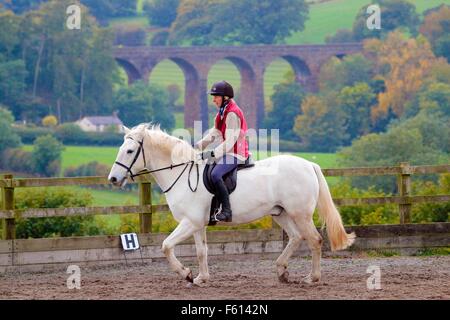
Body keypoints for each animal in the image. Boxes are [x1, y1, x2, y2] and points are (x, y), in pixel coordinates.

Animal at [108, 124, 356, 284]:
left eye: (130, 151)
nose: (113, 179)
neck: (182, 173)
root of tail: (308, 165)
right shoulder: (197, 224)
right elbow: (201, 251)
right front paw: (201, 278)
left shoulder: (190, 222)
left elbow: (166, 245)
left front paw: (185, 273)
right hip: (281, 213)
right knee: (296, 238)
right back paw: (281, 271)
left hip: (300, 214)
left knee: (314, 240)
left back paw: (312, 278)